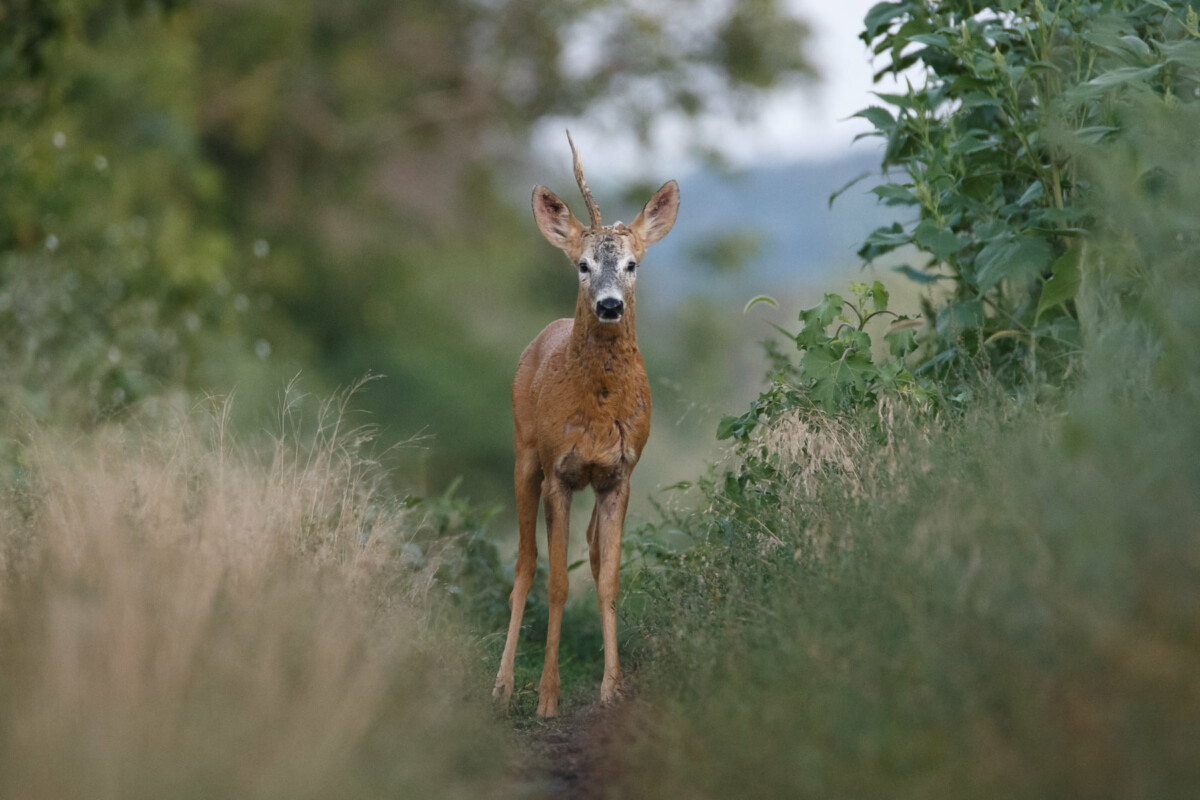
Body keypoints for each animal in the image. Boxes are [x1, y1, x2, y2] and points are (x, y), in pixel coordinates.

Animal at [492, 133, 681, 719]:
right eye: (581, 264)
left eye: (633, 264)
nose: (610, 305)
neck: (596, 415)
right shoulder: (560, 470)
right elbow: (556, 582)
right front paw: (548, 697)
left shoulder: (619, 474)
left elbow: (609, 579)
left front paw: (612, 687)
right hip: (522, 455)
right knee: (524, 564)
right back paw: (503, 686)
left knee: (594, 558)